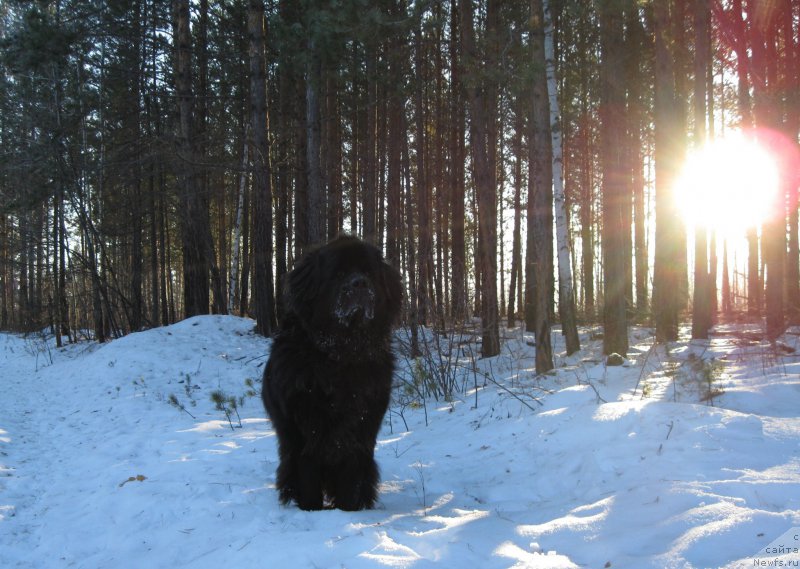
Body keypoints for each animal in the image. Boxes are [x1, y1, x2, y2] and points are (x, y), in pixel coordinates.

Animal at [262, 235, 404, 510]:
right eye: (338, 275)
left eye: (368, 273)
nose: (360, 283)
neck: (341, 356)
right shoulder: (305, 432)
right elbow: (307, 475)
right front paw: (311, 510)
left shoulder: (359, 430)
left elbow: (352, 478)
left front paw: (349, 511)